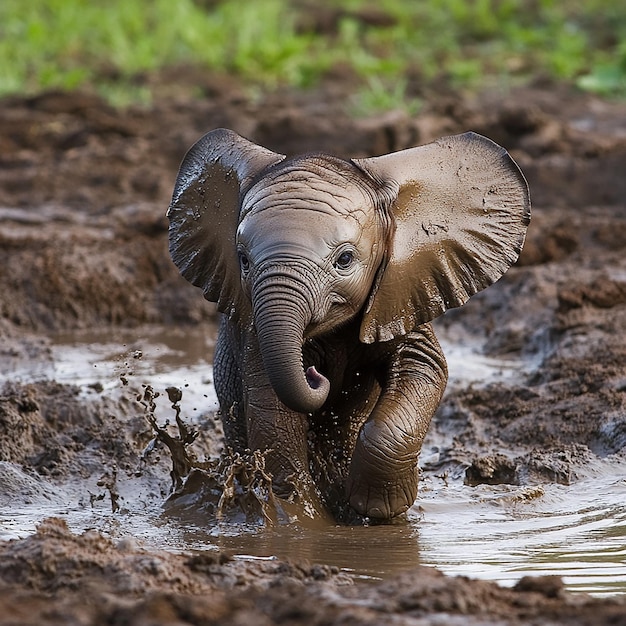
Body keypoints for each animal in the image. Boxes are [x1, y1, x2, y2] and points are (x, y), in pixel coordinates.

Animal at [166, 127, 528, 516]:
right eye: (243, 260)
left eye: (345, 259)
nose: (315, 374)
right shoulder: (254, 331)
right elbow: (272, 408)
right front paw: (299, 516)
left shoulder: (401, 291)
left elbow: (424, 367)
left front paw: (377, 509)